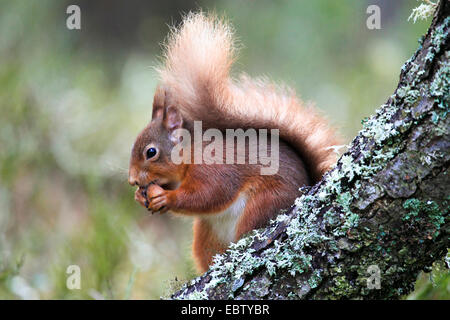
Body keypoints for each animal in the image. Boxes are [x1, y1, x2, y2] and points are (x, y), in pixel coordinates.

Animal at [128, 12, 340, 272]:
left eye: (151, 152)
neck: (191, 153)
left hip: (263, 206)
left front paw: (165, 197)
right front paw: (141, 197)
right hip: (206, 236)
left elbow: (208, 195)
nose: (132, 180)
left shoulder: (215, 169)